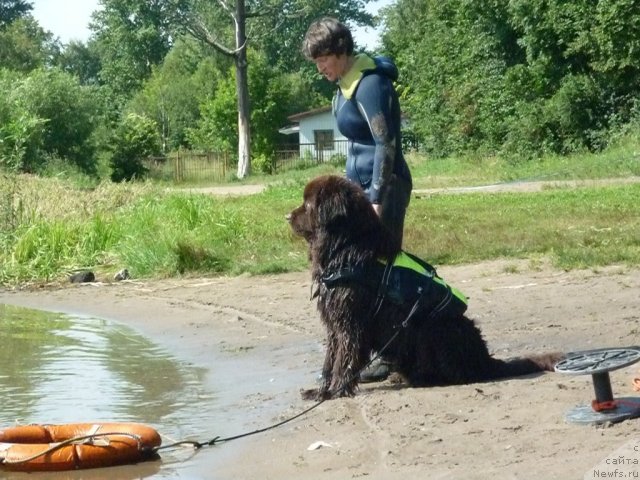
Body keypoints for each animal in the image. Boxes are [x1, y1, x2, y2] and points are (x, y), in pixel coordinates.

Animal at [288, 174, 564, 400]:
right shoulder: (335, 323)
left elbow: (343, 360)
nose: (286, 216)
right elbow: (330, 360)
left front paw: (334, 392)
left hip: (431, 328)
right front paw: (320, 391)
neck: (346, 249)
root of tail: (484, 360)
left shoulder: (350, 323)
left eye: (308, 205)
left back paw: (424, 379)